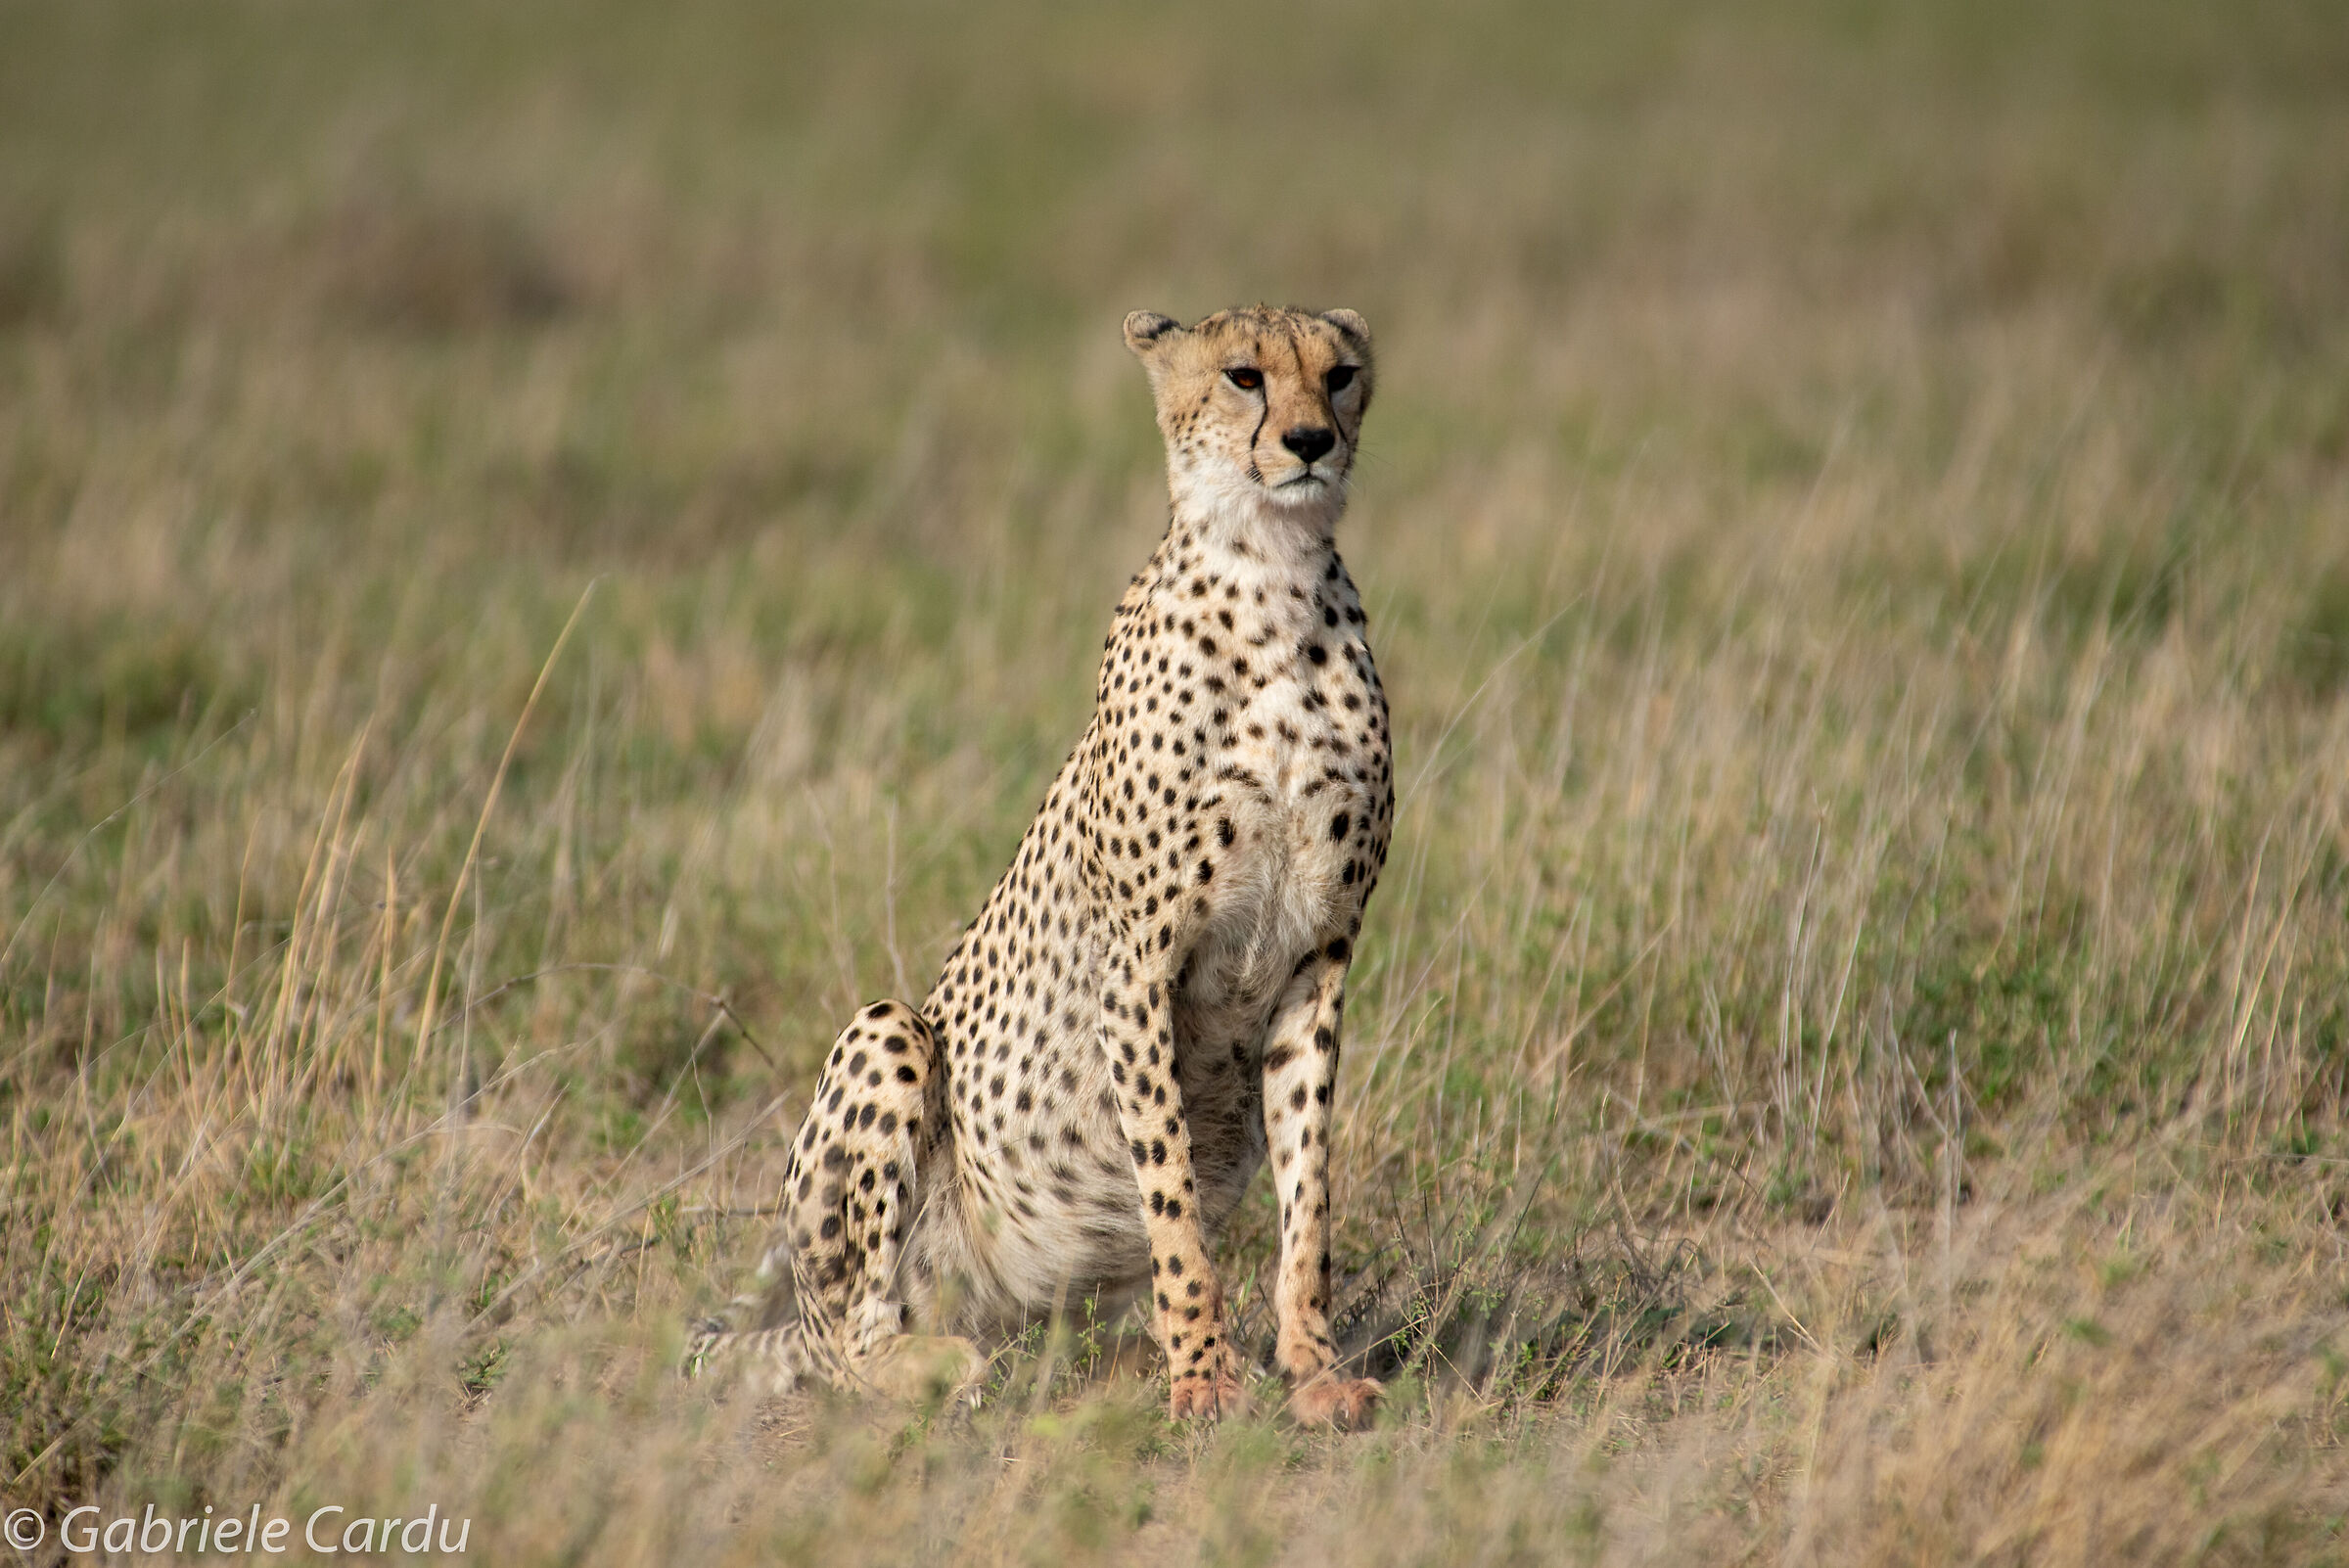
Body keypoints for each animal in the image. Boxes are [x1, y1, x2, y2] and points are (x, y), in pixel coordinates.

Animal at [687, 304, 1391, 1428]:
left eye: (1340, 375)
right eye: (1244, 375)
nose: (1311, 441)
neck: (1273, 580)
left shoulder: (1318, 961)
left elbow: (1308, 1193)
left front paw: (1313, 1368)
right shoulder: (1138, 966)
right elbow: (1170, 1200)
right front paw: (1204, 1374)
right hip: (888, 1041)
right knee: (839, 1340)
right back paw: (926, 1368)